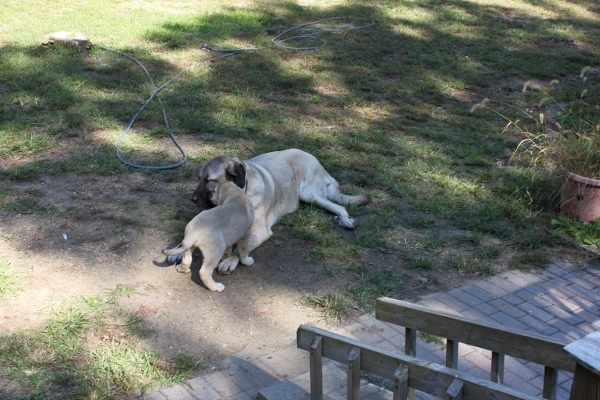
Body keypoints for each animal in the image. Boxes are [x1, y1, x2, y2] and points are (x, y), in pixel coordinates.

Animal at [192, 148, 370, 274]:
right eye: (199, 178)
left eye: (209, 180)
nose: (192, 199)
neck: (239, 194)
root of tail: (319, 164)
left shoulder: (259, 231)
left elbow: (241, 248)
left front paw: (230, 261)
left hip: (309, 194)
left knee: (340, 206)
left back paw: (345, 219)